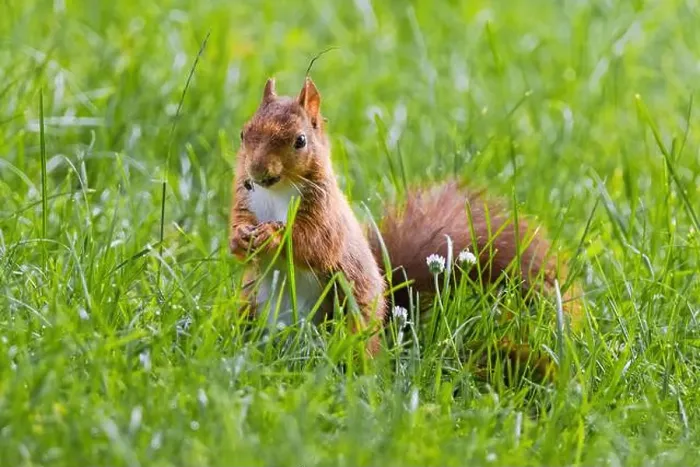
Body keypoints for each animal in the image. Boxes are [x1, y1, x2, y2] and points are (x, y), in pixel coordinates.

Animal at [229, 76, 582, 370]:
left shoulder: (325, 216)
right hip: (251, 302)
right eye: (243, 133)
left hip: (349, 309)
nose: (257, 172)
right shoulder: (245, 199)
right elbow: (239, 223)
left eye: (300, 141)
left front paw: (272, 236)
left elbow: (313, 243)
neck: (277, 191)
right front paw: (239, 238)